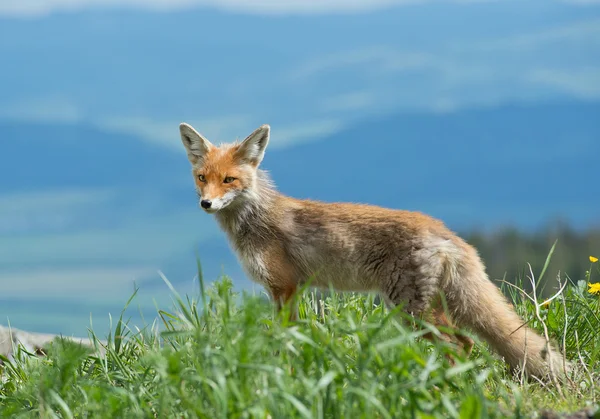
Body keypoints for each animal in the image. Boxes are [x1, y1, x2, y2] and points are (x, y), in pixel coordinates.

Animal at [177, 122, 568, 380]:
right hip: (428, 310)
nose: (206, 203)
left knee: (459, 345)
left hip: (411, 311)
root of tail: (447, 233)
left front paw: (280, 375)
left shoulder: (284, 288)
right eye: (202, 177)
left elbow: (283, 341)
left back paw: (444, 387)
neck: (255, 220)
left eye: (229, 180)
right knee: (467, 343)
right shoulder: (292, 291)